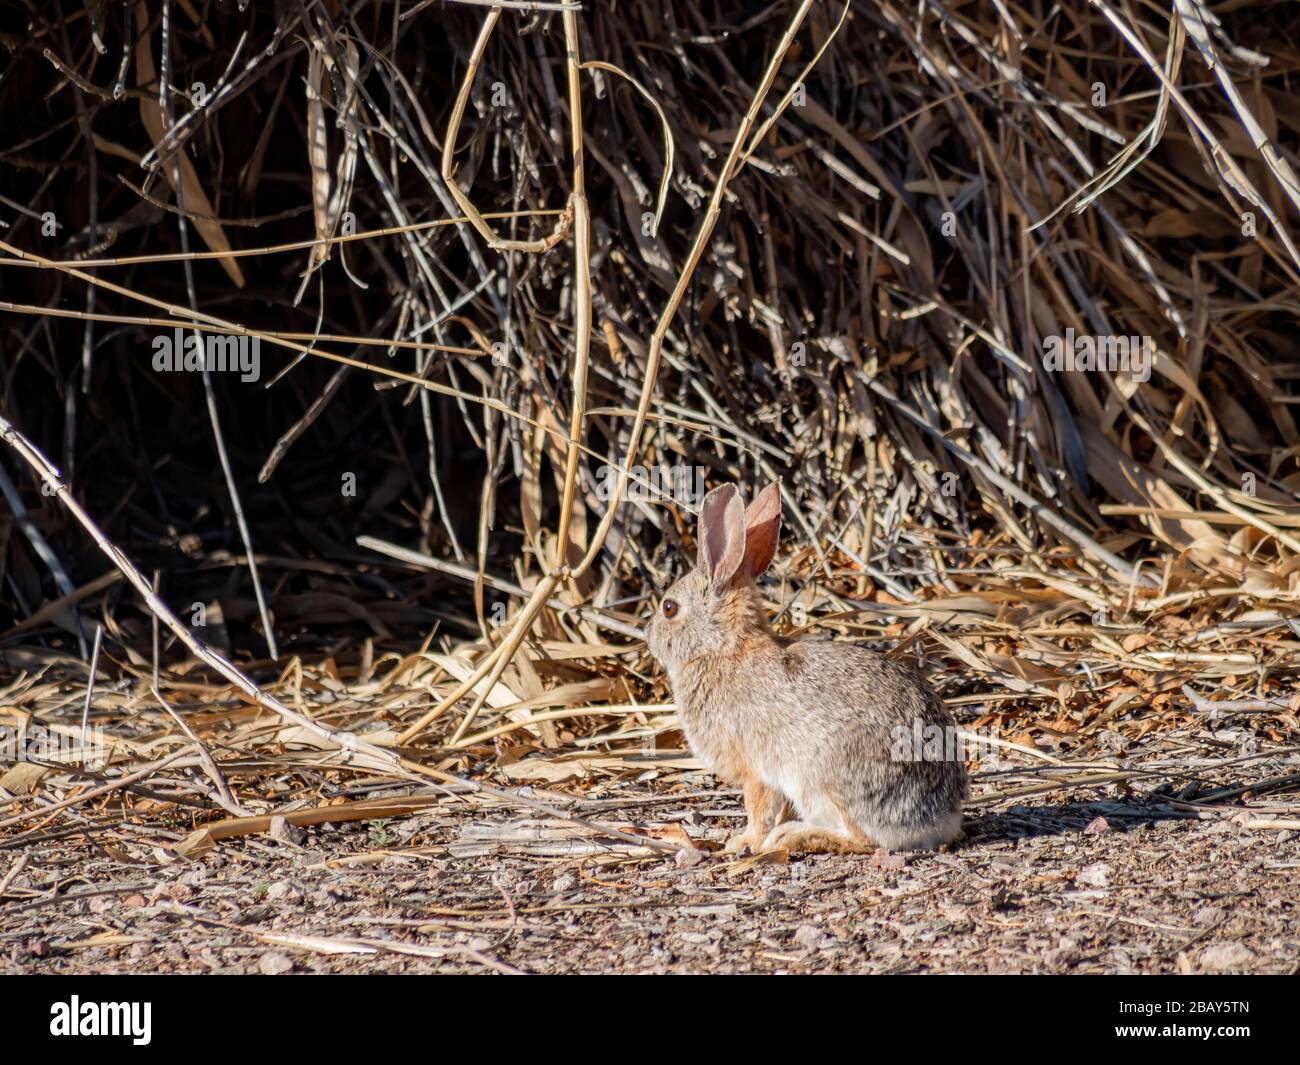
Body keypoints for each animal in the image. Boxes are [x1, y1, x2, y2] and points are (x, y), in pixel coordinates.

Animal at [644, 483, 972, 858]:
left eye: (669, 608)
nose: (649, 636)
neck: (721, 647)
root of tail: (940, 818)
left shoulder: (757, 771)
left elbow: (759, 810)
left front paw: (744, 842)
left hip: (823, 780)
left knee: (863, 838)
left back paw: (791, 837)